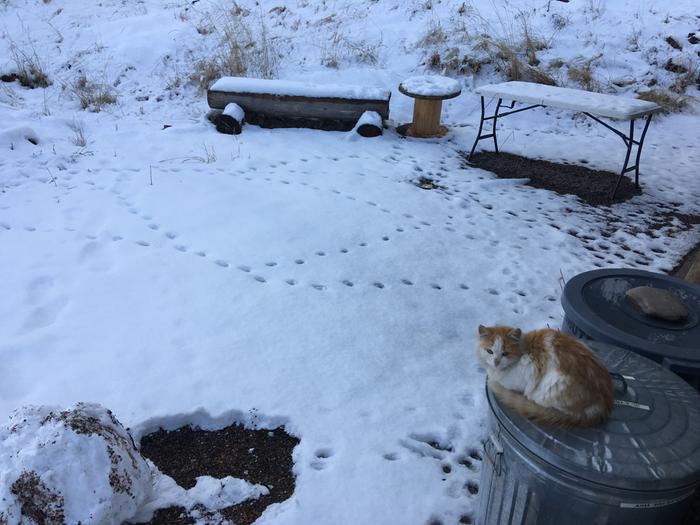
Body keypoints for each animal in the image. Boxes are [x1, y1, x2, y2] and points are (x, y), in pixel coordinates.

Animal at [476, 326, 612, 428]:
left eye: (505, 354)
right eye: (490, 351)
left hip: (552, 386)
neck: (524, 349)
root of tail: (603, 404)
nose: (496, 362)